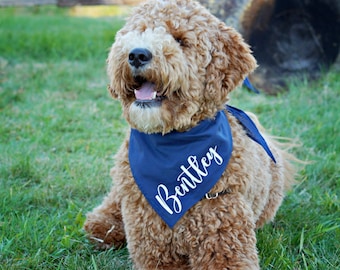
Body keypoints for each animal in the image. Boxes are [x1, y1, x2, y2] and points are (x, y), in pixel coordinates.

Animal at [85, 0, 298, 268]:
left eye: (180, 40)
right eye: (139, 31)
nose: (137, 54)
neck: (173, 144)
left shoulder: (224, 231)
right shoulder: (151, 240)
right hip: (125, 182)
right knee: (114, 199)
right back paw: (104, 225)